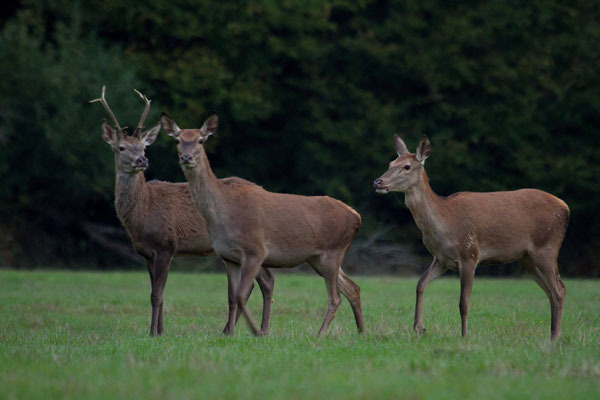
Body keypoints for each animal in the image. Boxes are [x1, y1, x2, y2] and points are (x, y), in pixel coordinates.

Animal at [90, 88, 276, 338]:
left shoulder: (166, 245)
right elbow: (157, 292)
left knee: (264, 281)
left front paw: (153, 333)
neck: (143, 214)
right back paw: (238, 329)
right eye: (121, 148)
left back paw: (251, 329)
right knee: (262, 281)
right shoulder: (146, 253)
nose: (142, 160)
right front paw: (160, 330)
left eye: (144, 147)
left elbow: (156, 295)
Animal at [161, 112, 366, 338]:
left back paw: (320, 334)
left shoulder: (255, 251)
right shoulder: (228, 257)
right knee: (353, 288)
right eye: (177, 140)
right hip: (317, 258)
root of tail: (356, 216)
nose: (186, 157)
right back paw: (362, 332)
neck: (222, 214)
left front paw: (257, 331)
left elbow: (242, 295)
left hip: (332, 251)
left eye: (201, 140)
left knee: (335, 297)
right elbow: (231, 298)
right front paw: (230, 332)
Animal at [372, 135, 568, 340]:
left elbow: (463, 302)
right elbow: (420, 284)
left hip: (547, 247)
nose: (378, 182)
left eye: (407, 166)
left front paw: (464, 335)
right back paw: (552, 333)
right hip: (526, 258)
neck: (444, 224)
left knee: (559, 290)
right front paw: (419, 327)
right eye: (390, 163)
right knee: (551, 291)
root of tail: (565, 207)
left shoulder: (469, 254)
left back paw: (555, 337)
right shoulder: (441, 259)